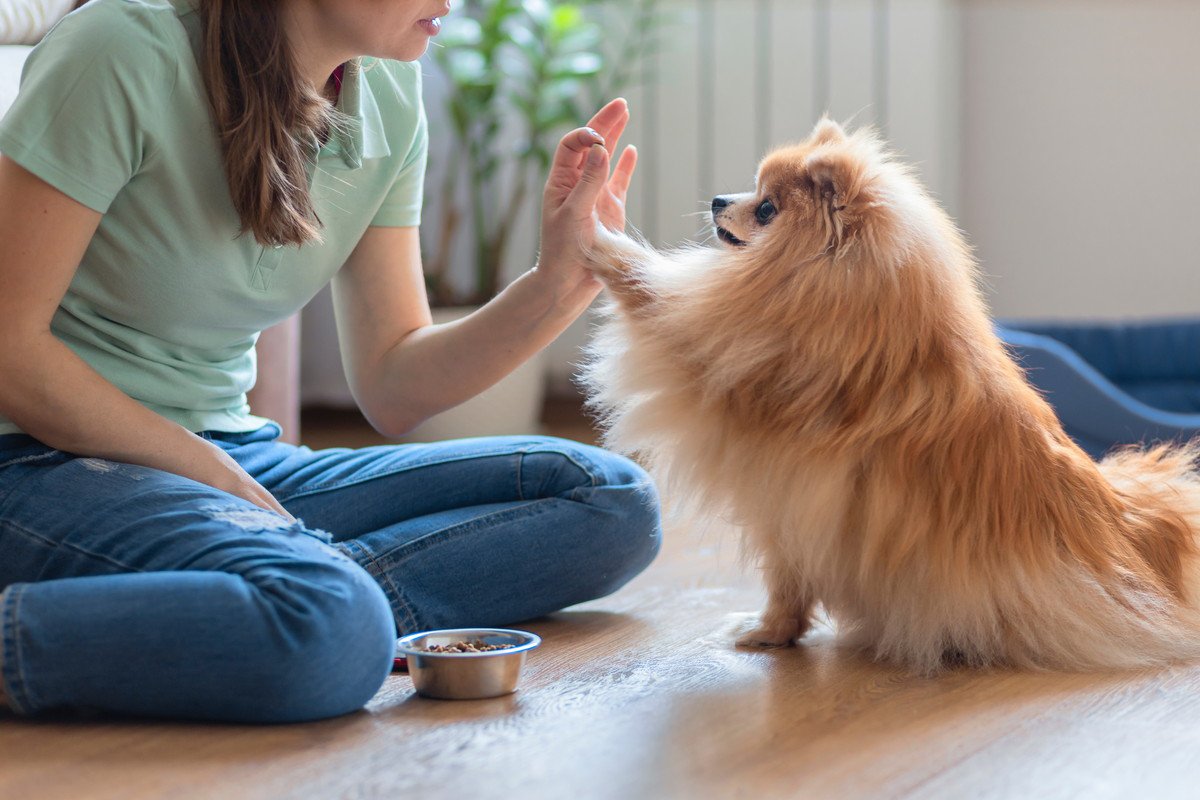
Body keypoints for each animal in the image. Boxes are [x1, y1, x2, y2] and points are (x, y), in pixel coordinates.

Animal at [578, 115, 1200, 671]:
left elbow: (648, 290)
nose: (715, 199)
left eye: (766, 209)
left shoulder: (734, 398)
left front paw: (590, 231)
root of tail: (1132, 534)